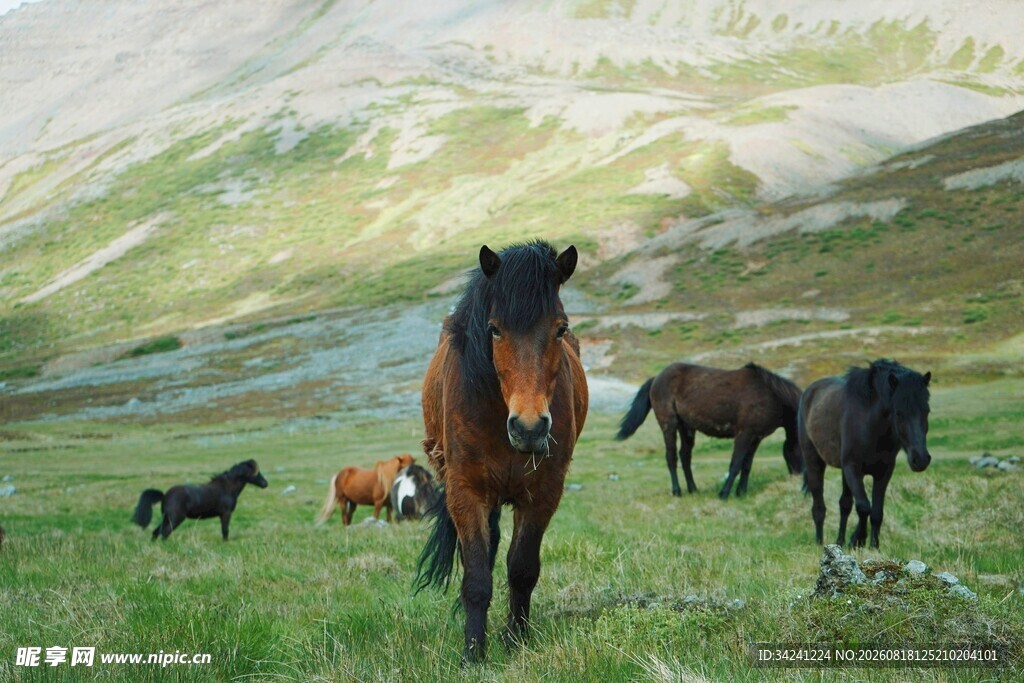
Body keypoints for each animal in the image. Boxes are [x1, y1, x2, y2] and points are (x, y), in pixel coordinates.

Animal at [132, 459, 268, 541]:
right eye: (257, 473)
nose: (265, 484)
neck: (226, 488)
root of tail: (164, 495)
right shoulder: (226, 514)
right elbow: (225, 531)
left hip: (167, 518)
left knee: (156, 532)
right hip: (175, 519)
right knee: (164, 533)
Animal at [416, 241, 588, 662]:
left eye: (561, 328)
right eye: (494, 329)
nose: (529, 428)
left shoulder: (542, 494)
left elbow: (522, 569)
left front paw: (515, 640)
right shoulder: (466, 492)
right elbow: (477, 575)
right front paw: (473, 653)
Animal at [616, 362, 803, 499]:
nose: (798, 478)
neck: (771, 395)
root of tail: (656, 378)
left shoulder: (756, 438)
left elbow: (746, 466)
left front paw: (741, 492)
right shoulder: (744, 434)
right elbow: (735, 464)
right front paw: (724, 494)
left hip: (686, 428)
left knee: (685, 457)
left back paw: (693, 489)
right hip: (669, 424)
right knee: (671, 457)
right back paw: (677, 491)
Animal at [799, 359, 932, 548]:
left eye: (926, 411)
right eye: (898, 413)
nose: (920, 459)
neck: (870, 424)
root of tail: (809, 392)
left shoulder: (884, 471)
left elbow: (876, 512)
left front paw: (873, 545)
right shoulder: (853, 468)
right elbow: (863, 507)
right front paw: (858, 539)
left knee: (844, 505)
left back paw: (839, 541)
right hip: (814, 462)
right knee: (819, 507)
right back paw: (819, 542)